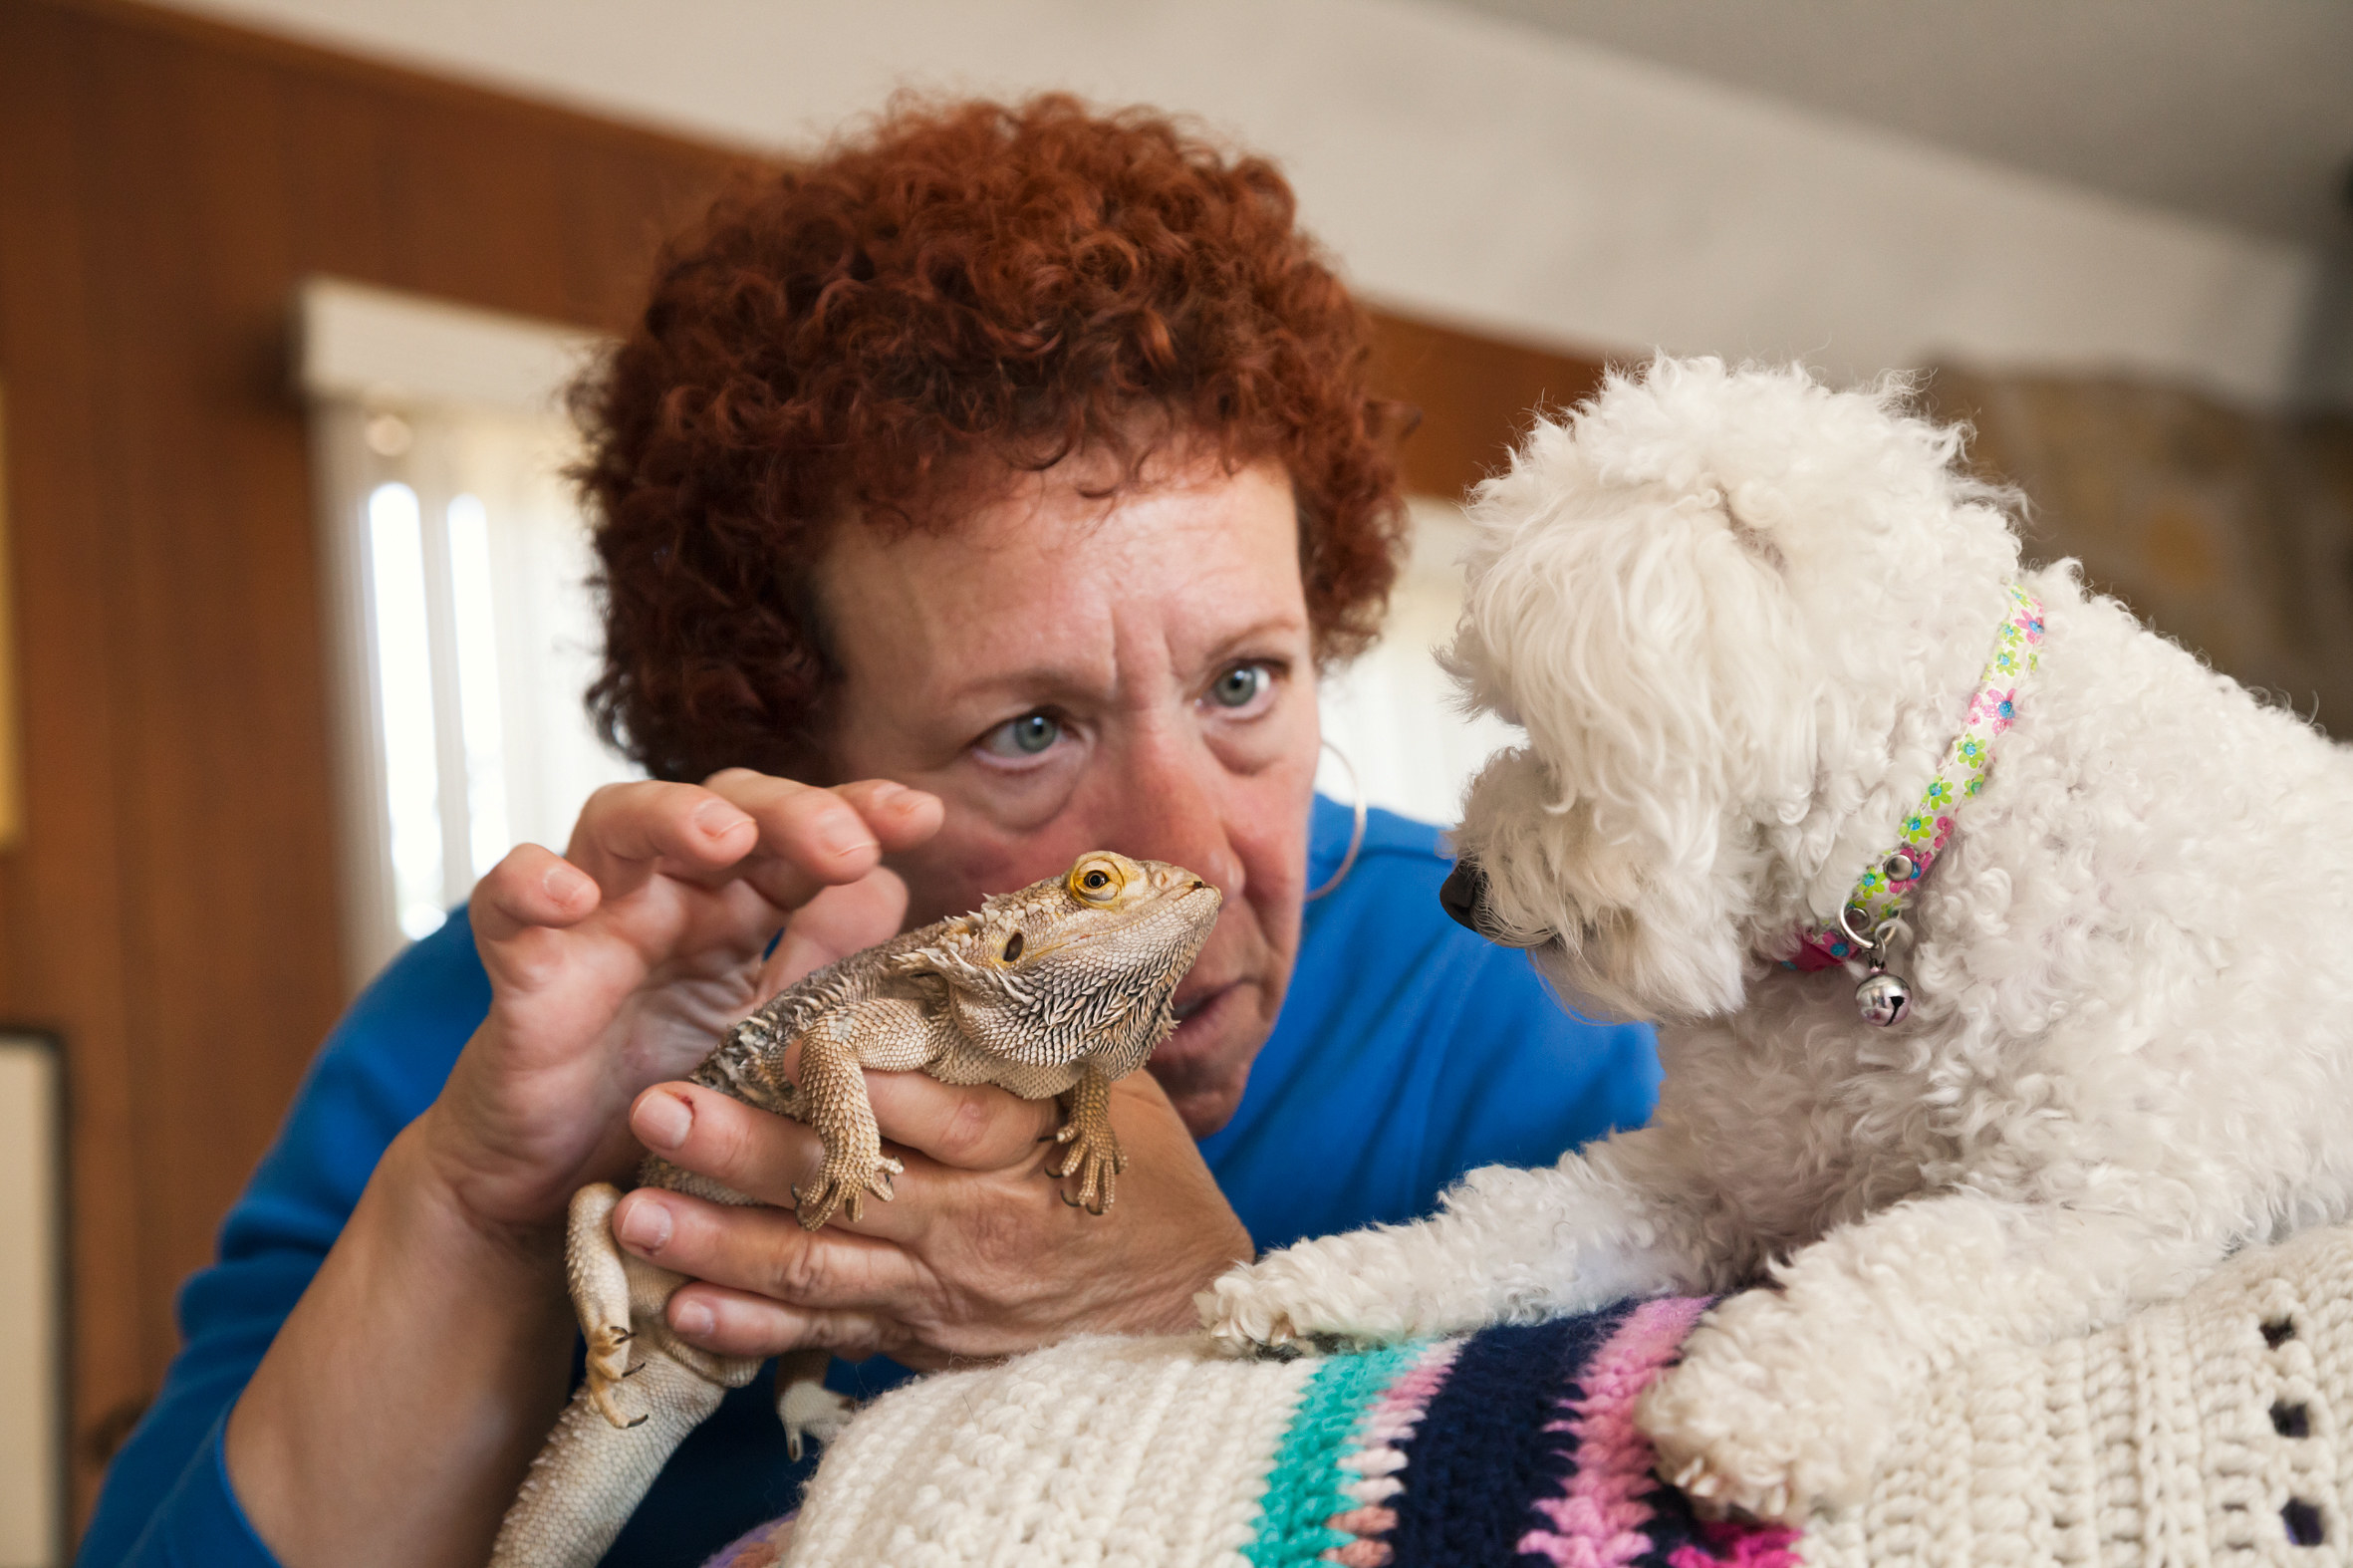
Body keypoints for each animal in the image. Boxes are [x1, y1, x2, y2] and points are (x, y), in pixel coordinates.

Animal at [1204, 351, 2353, 1516]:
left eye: (1547, 734)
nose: (1456, 889)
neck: (1917, 875)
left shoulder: (2081, 1205)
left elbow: (1897, 1265)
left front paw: (1754, 1400)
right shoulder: (1713, 1178)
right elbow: (1518, 1219)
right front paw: (1335, 1277)